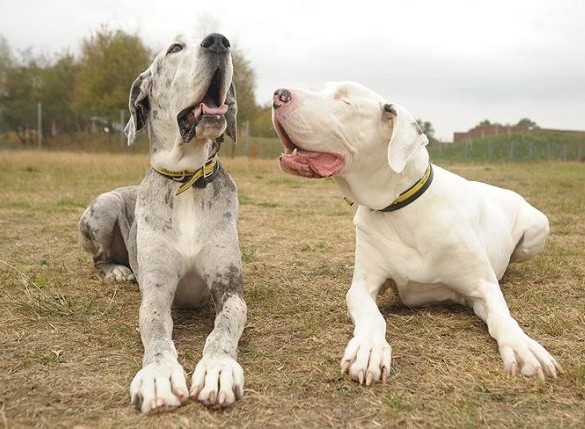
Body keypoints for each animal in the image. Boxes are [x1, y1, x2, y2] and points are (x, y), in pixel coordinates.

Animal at [272, 81, 560, 384]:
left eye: (345, 101)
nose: (279, 94)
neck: (399, 209)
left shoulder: (482, 286)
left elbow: (502, 316)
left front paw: (523, 345)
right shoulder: (362, 286)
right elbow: (372, 315)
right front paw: (369, 348)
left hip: (538, 229)